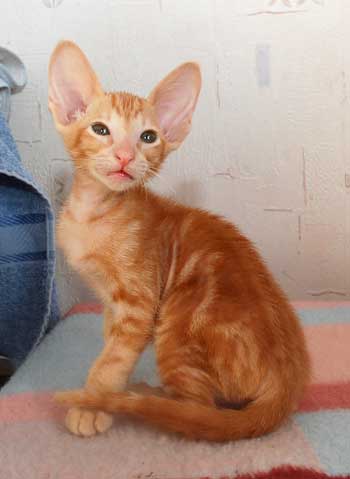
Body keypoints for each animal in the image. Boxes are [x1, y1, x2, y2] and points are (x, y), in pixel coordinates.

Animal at [49, 41, 308, 442]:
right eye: (100, 129)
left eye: (148, 137)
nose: (125, 156)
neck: (93, 212)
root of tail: (288, 382)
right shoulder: (111, 304)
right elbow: (111, 348)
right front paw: (100, 396)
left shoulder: (139, 304)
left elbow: (112, 361)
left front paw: (93, 403)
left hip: (178, 324)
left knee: (198, 410)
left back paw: (147, 399)